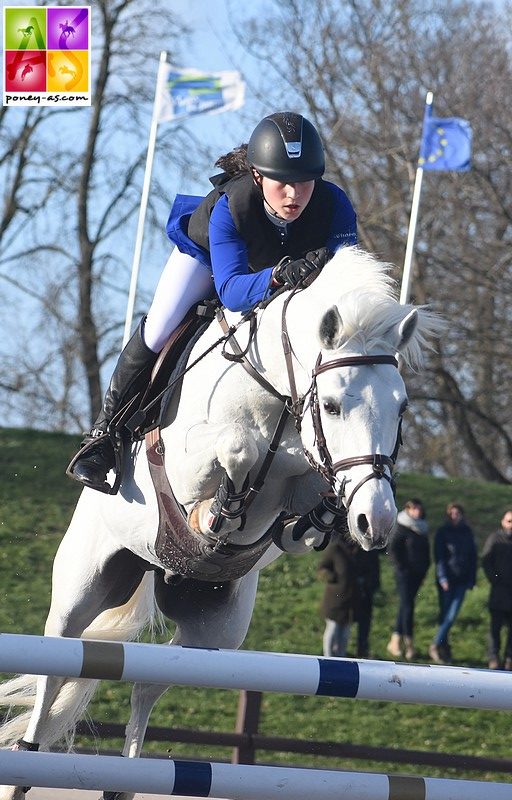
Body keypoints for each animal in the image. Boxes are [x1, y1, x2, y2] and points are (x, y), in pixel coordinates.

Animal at [0, 245, 442, 800]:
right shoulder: (187, 460)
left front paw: (314, 517)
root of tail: (157, 568)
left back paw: (128, 780)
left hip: (216, 630)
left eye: (402, 408)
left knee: (147, 683)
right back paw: (26, 765)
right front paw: (216, 511)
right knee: (56, 670)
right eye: (333, 405)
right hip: (84, 585)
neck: (275, 392)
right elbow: (237, 447)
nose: (376, 520)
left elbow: (297, 500)